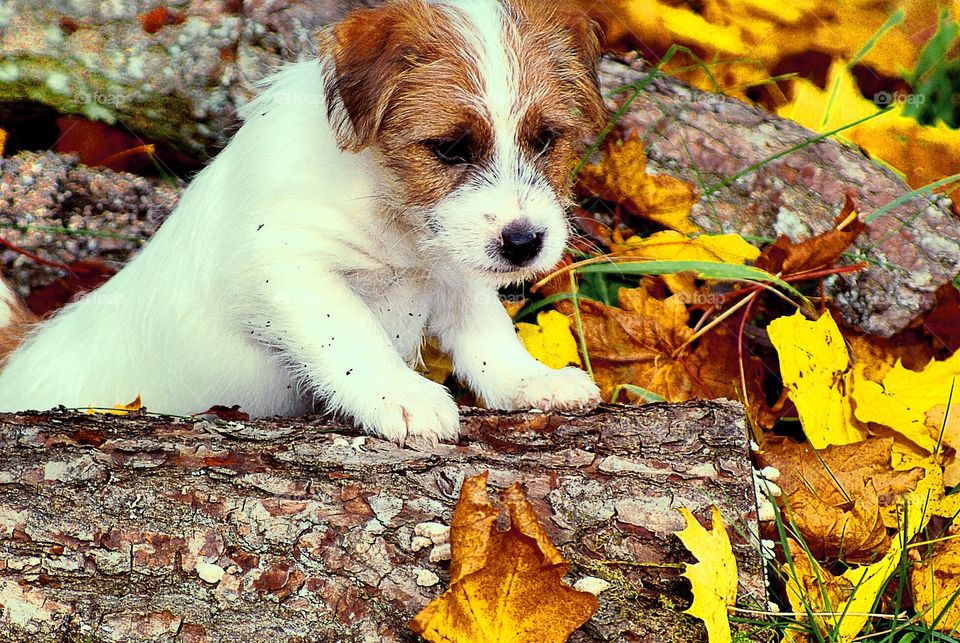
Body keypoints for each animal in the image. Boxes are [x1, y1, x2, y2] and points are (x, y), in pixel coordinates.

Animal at [0, 0, 600, 442]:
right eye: (450, 148)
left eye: (545, 139)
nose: (524, 243)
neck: (390, 205)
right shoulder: (288, 267)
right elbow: (354, 335)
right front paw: (403, 395)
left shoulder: (453, 266)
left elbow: (488, 332)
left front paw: (531, 382)